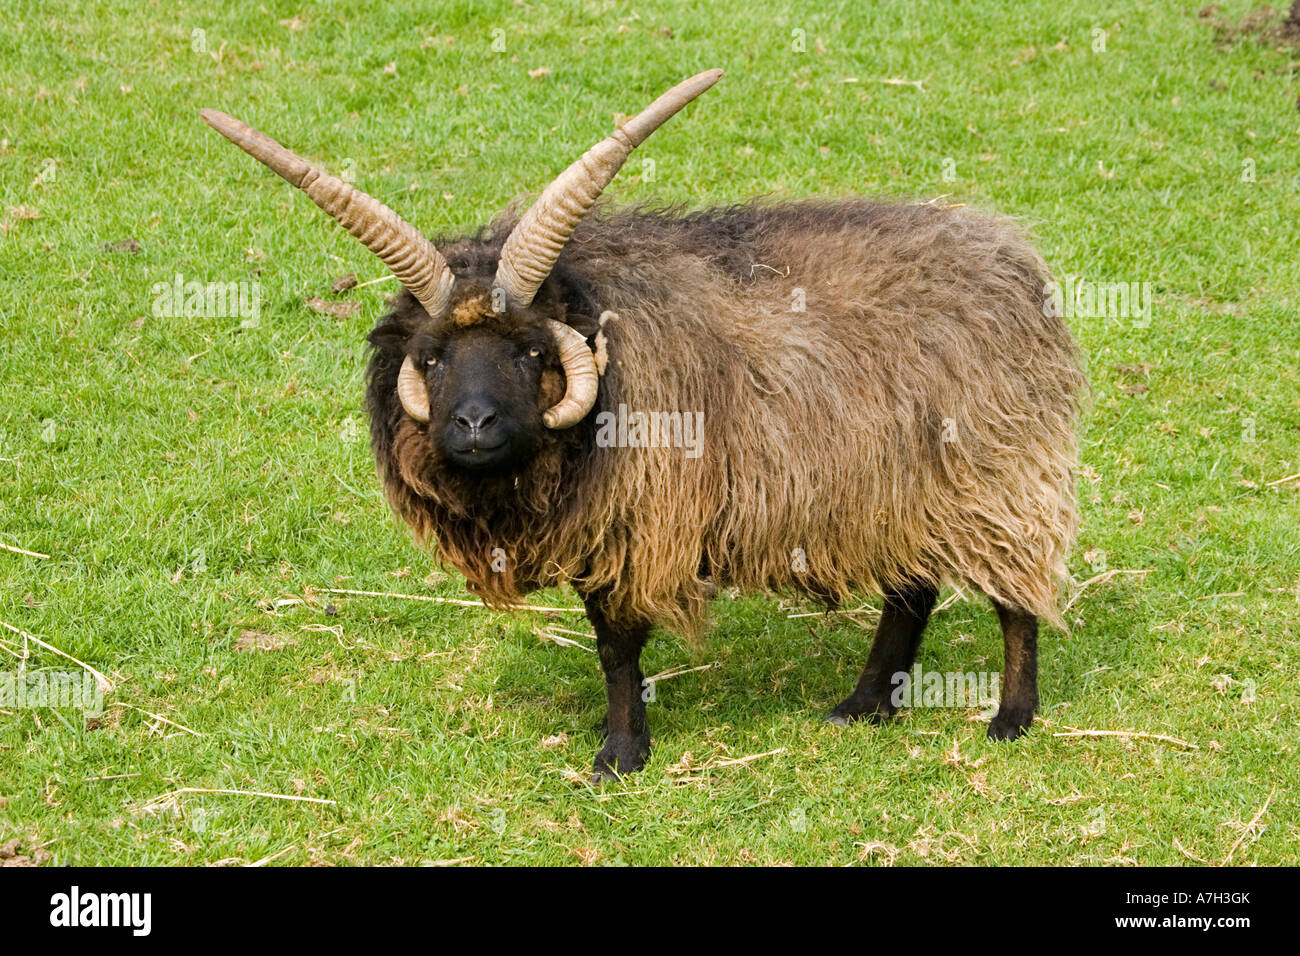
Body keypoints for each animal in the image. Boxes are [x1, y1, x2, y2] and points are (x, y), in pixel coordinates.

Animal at [200, 70, 1086, 780]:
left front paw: (619, 756)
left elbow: (618, 646)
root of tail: (1013, 258)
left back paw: (1010, 718)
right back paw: (864, 705)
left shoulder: (638, 522)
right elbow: (606, 645)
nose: (474, 425)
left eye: (528, 351)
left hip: (994, 470)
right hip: (898, 484)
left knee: (1012, 596)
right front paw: (615, 736)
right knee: (913, 588)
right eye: (433, 354)